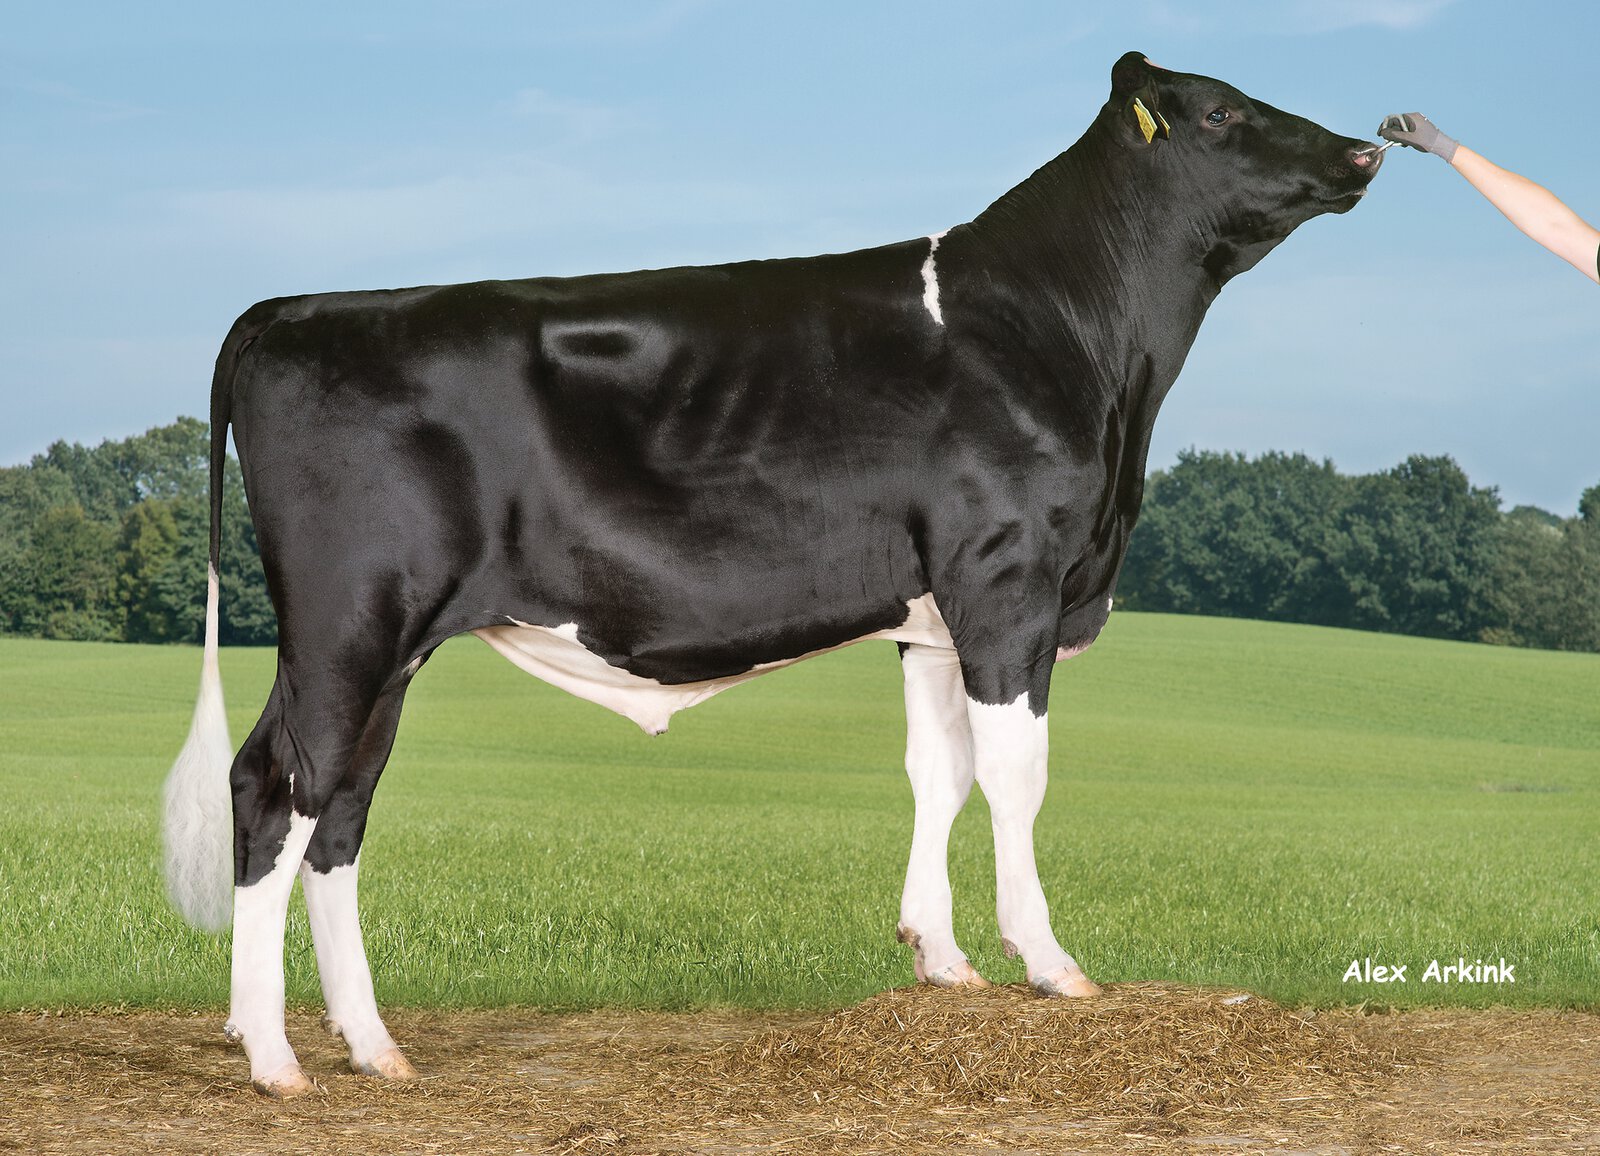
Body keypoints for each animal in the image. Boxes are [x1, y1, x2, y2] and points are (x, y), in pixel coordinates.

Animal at [163, 52, 1383, 1096]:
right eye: (1220, 112)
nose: (1366, 148)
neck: (1083, 345)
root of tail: (297, 307)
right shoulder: (1008, 579)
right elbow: (1014, 776)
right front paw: (1049, 965)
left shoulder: (932, 614)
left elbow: (936, 773)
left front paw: (941, 961)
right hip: (348, 621)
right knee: (274, 786)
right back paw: (273, 1056)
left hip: (388, 645)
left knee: (340, 807)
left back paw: (373, 1048)